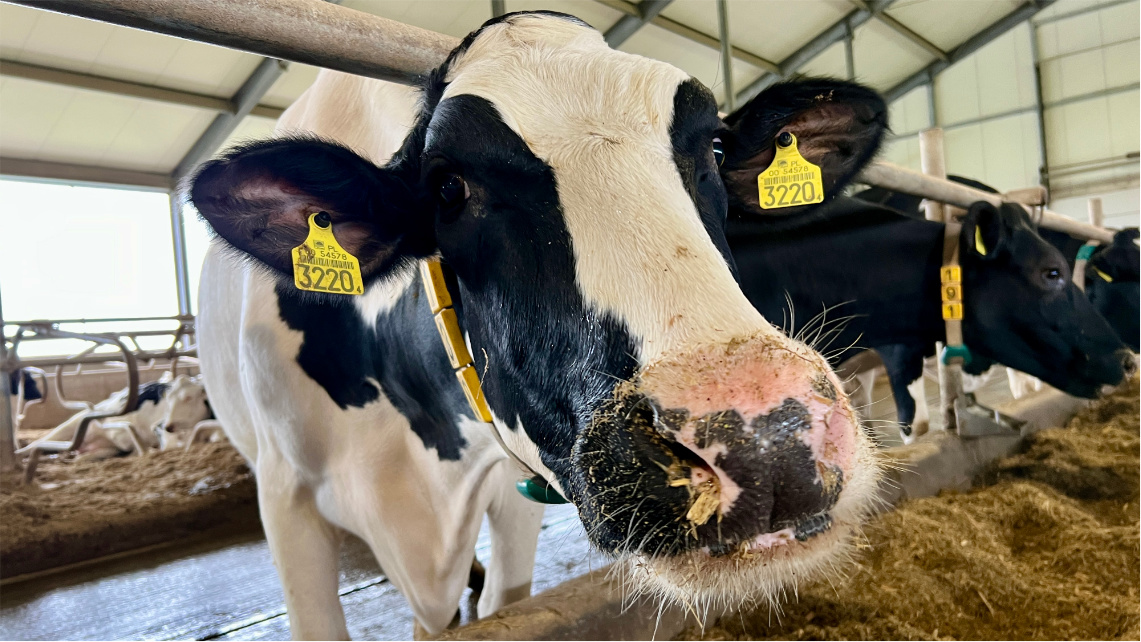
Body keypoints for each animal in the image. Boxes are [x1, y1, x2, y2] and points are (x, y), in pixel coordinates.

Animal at [20, 374, 214, 460]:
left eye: (188, 398)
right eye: (168, 398)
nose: (167, 425)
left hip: (104, 450)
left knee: (77, 457)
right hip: (75, 422)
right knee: (36, 444)